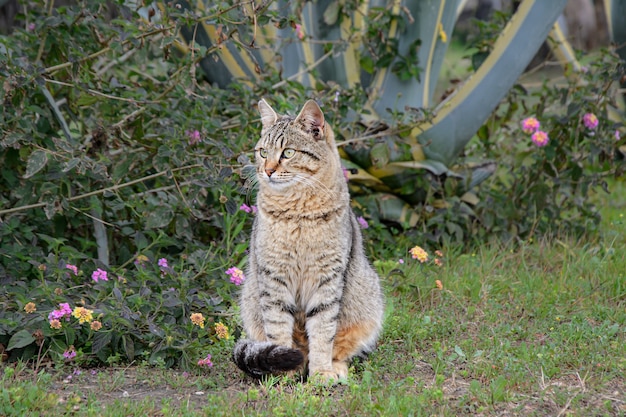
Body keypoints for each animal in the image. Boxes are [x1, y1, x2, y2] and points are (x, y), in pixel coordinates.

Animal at [232, 98, 382, 380]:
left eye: (288, 153)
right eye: (263, 152)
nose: (267, 171)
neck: (297, 213)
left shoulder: (327, 278)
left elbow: (323, 332)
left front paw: (321, 372)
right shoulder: (274, 277)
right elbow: (278, 330)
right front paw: (283, 372)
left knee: (340, 348)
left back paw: (334, 368)